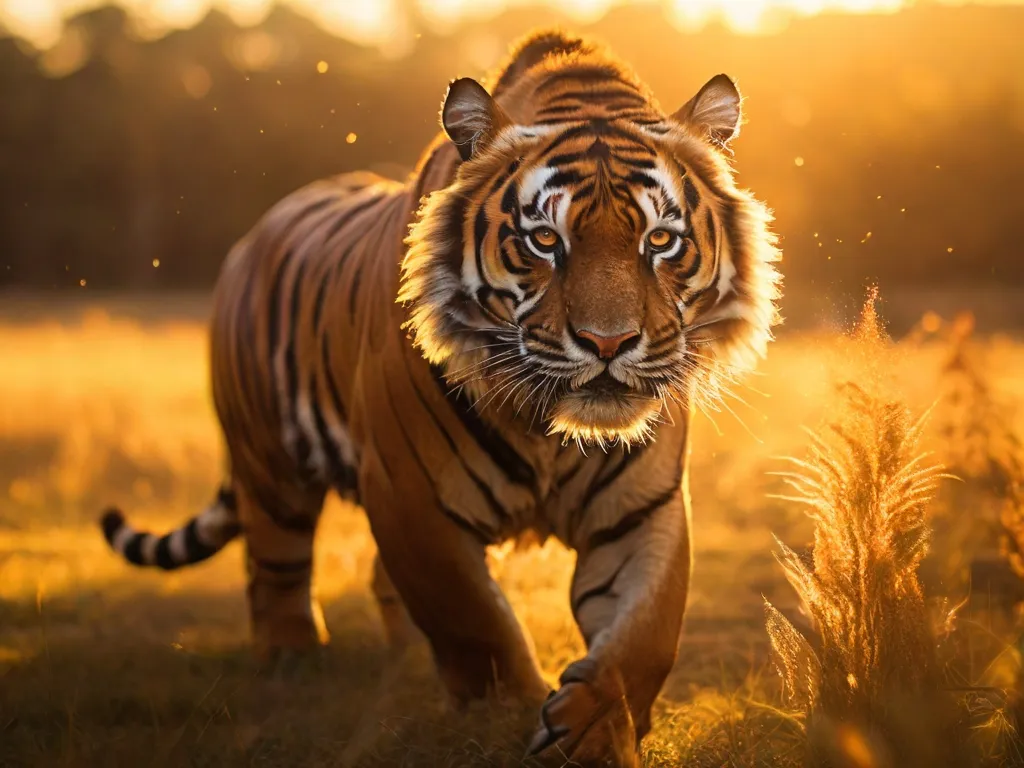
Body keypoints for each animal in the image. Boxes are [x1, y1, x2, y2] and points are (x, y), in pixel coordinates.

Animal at [99, 31, 778, 768]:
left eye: (659, 241)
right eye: (546, 240)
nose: (609, 342)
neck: (550, 429)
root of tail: (252, 238)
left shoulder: (641, 506)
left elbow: (646, 632)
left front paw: (593, 730)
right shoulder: (411, 493)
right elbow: (474, 622)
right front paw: (505, 721)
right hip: (269, 464)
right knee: (275, 567)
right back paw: (293, 663)